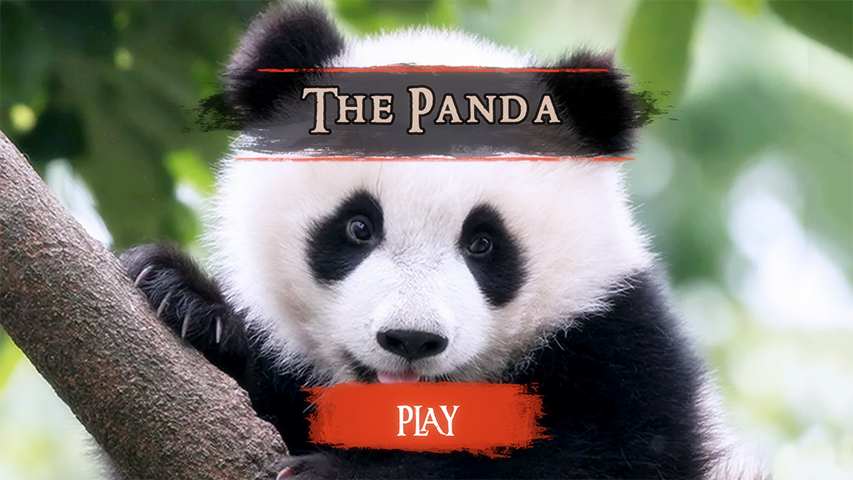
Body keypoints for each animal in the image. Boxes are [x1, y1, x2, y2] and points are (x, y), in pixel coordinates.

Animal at [120, 1, 766, 479]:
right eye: (358, 227)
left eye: (484, 244)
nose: (411, 339)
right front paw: (187, 301)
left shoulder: (620, 342)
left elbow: (607, 457)